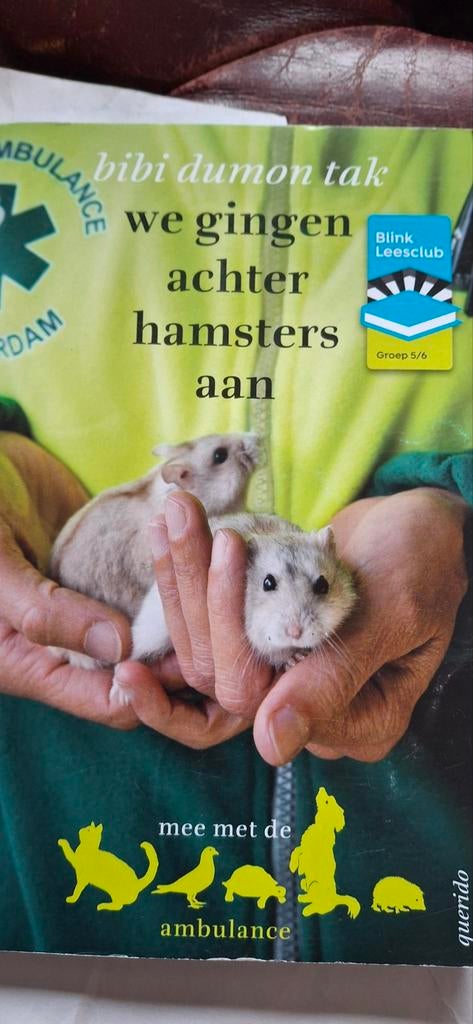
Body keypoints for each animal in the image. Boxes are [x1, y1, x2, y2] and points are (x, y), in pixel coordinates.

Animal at [115, 512, 356, 704]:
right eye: (267, 583)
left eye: (323, 585)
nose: (295, 633)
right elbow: (273, 653)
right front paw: (295, 658)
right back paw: (120, 693)